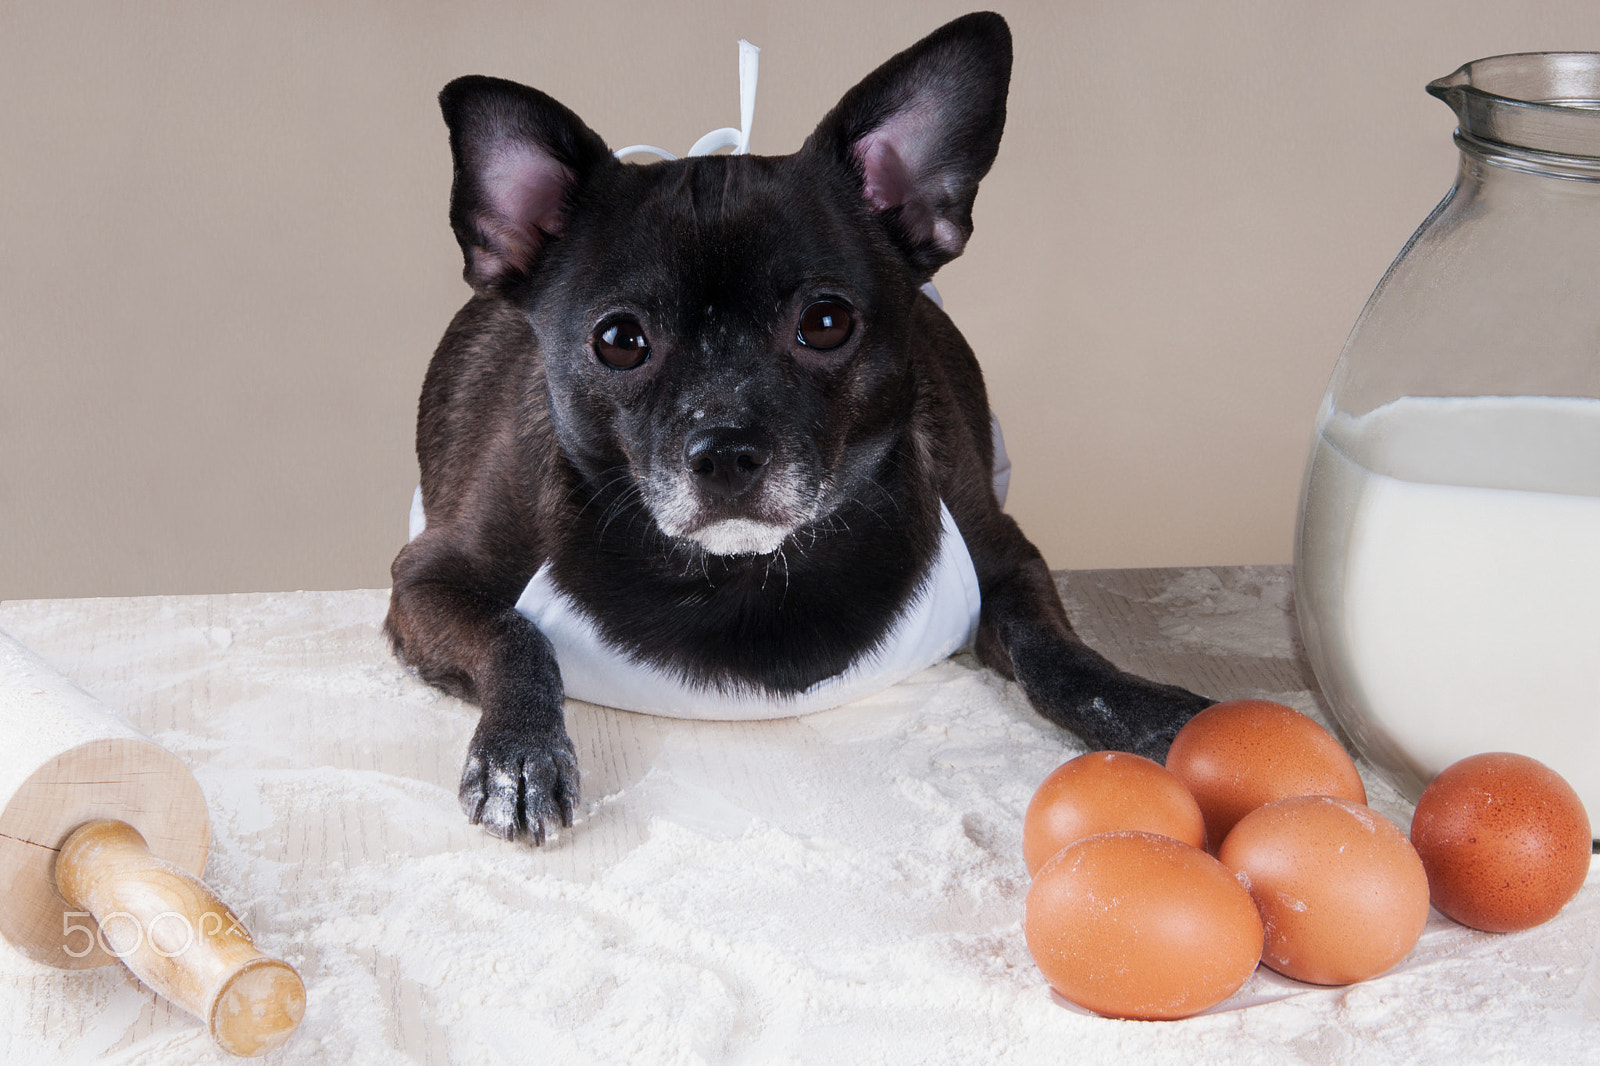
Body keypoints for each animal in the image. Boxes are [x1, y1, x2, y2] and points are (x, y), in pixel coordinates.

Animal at [387, 8, 1209, 838]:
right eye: (619, 340)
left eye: (826, 322)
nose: (726, 449)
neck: (743, 573)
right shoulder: (425, 583)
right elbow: (514, 633)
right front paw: (518, 754)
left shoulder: (1010, 559)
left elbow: (1057, 653)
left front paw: (1148, 711)